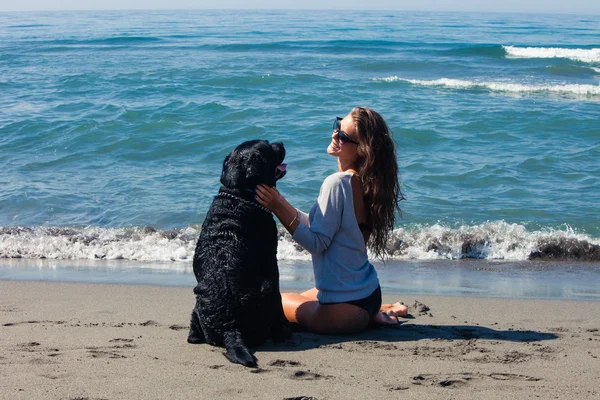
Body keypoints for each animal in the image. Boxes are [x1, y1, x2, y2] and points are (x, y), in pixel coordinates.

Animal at [188, 139, 290, 368]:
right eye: (268, 146)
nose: (280, 142)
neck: (238, 194)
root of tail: (230, 327)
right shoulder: (271, 262)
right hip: (266, 289)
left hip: (197, 305)